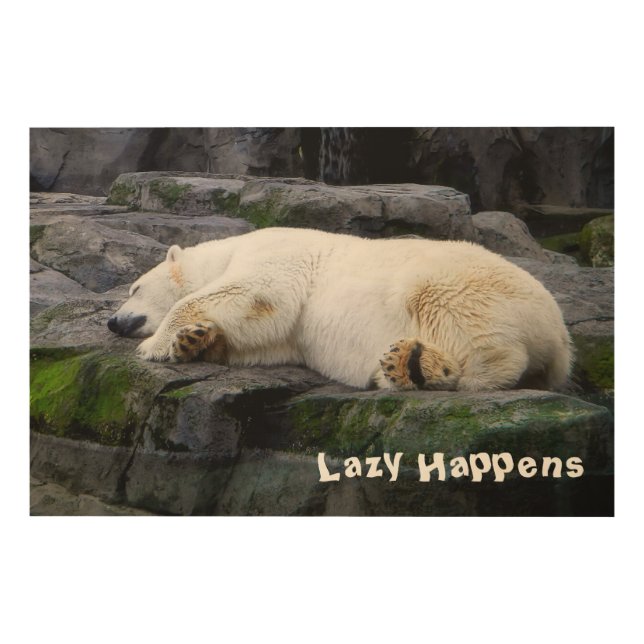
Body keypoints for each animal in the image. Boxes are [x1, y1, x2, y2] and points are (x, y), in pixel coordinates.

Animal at [107, 227, 573, 392]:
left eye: (134, 287)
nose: (112, 321)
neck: (227, 250)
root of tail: (561, 337)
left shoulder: (276, 255)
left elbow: (257, 293)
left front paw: (156, 345)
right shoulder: (285, 337)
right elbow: (263, 336)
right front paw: (194, 340)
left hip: (457, 284)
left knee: (472, 330)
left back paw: (422, 369)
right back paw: (403, 365)